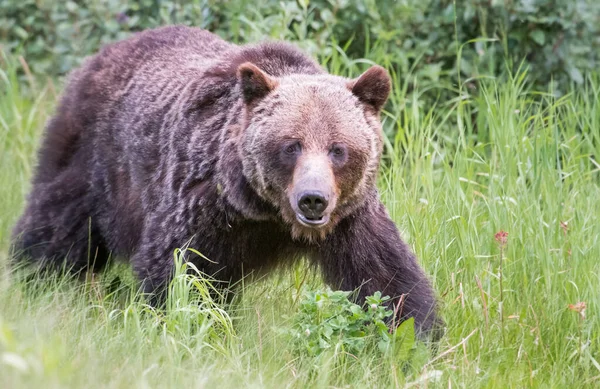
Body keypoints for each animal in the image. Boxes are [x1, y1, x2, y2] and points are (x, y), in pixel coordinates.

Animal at [11, 25, 438, 334]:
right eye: (292, 145)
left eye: (338, 149)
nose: (313, 199)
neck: (266, 212)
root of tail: (105, 52)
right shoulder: (201, 202)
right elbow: (179, 273)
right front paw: (189, 325)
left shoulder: (349, 217)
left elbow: (385, 278)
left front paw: (416, 336)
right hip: (94, 158)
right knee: (58, 225)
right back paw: (29, 280)